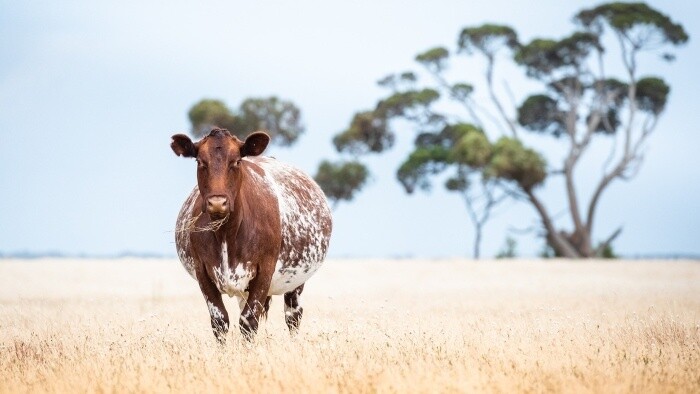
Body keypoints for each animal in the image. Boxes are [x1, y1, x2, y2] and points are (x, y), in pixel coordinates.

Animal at [171, 127, 332, 340]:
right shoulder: (202, 271)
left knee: (293, 315)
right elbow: (220, 321)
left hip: (297, 281)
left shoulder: (264, 270)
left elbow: (248, 322)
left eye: (237, 161)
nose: (217, 203)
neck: (226, 233)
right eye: (200, 162)